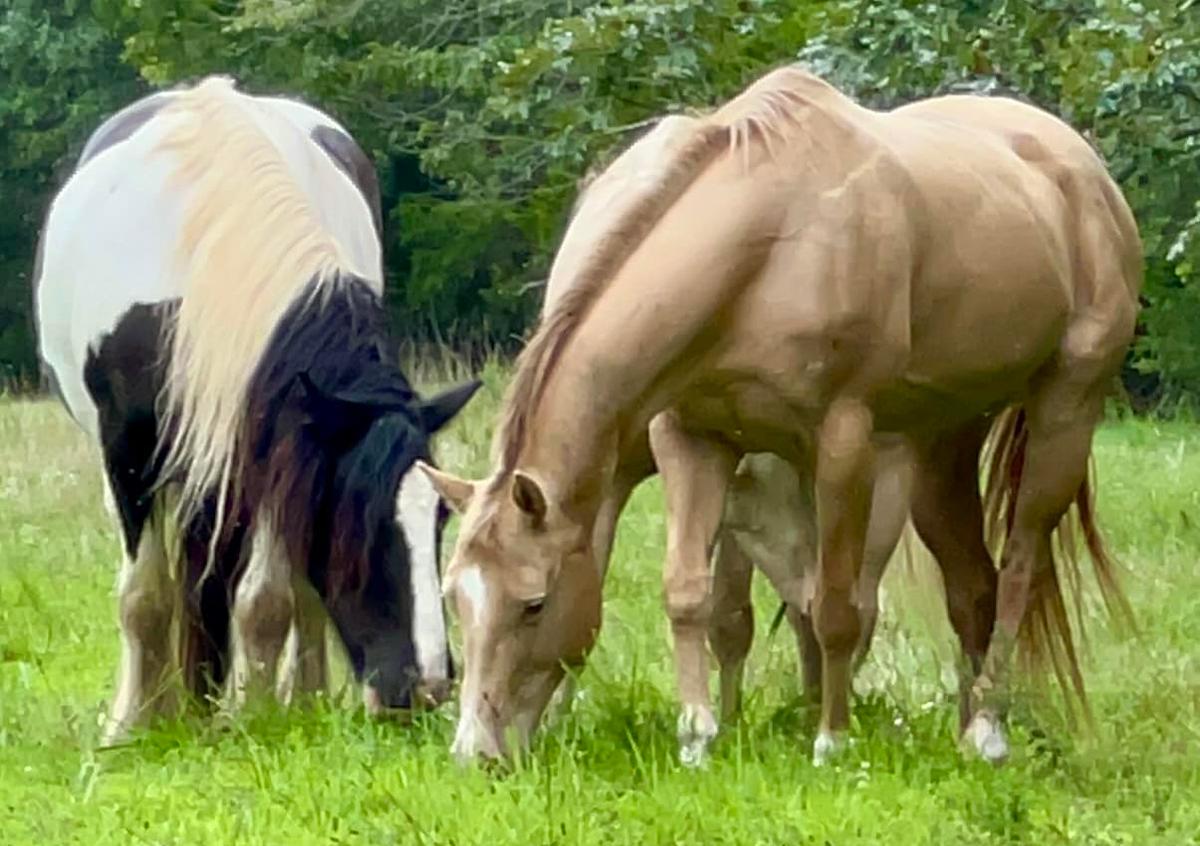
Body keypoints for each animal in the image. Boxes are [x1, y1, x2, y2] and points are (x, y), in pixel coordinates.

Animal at [33, 76, 480, 743]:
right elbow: (143, 596)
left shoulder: (276, 451)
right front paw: (133, 725)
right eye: (361, 520)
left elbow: (267, 597)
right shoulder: (129, 450)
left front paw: (258, 712)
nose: (424, 688)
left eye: (441, 519)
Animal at [420, 64, 1141, 765]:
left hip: (1064, 412)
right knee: (973, 586)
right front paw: (699, 736)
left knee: (1017, 565)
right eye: (454, 597)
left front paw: (830, 740)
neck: (765, 251)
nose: (475, 753)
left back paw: (988, 728)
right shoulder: (693, 438)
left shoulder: (844, 442)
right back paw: (968, 728)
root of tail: (1085, 173)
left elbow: (837, 606)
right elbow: (690, 593)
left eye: (533, 604)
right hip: (944, 446)